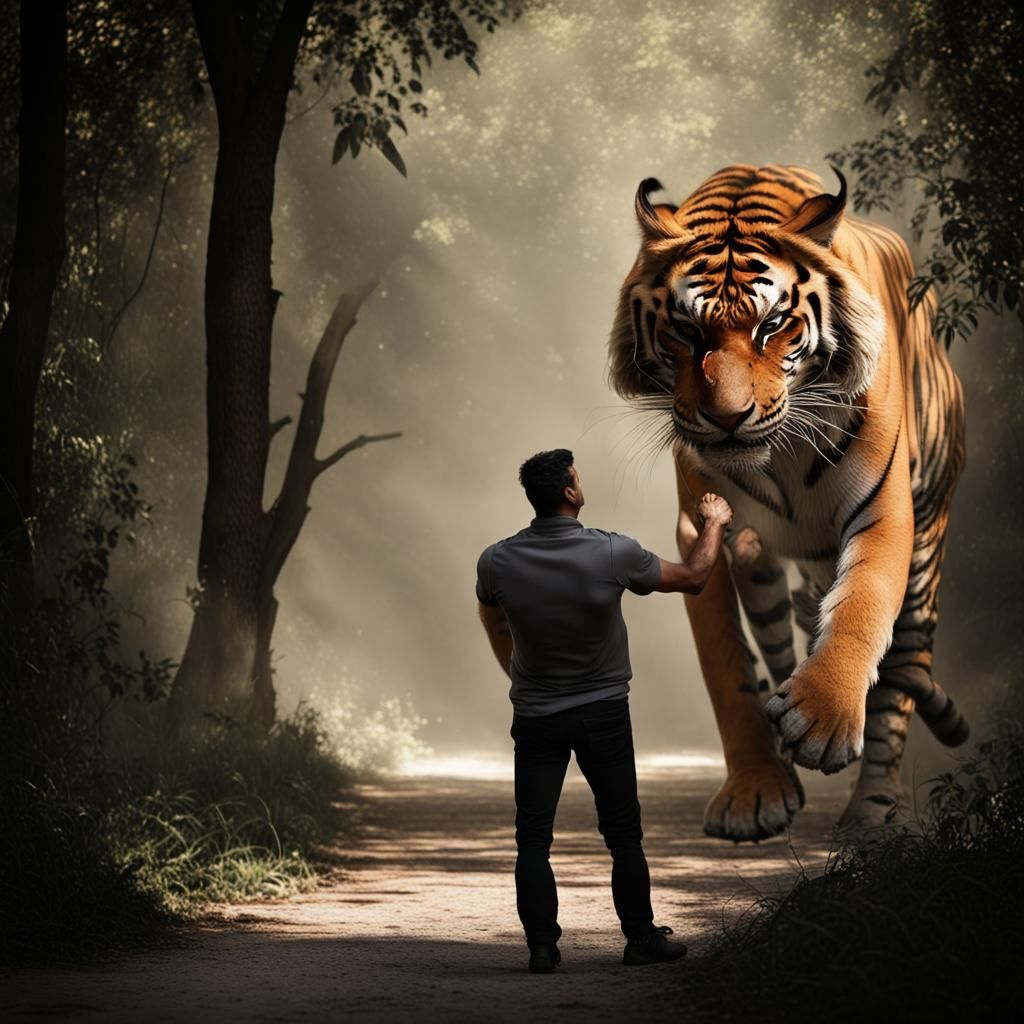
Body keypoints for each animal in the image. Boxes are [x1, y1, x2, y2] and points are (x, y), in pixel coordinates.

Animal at [608, 163, 968, 841]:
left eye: (772, 325)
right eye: (686, 330)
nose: (728, 418)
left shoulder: (885, 509)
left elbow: (862, 603)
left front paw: (822, 718)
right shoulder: (698, 532)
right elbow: (727, 667)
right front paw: (755, 792)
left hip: (928, 546)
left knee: (900, 678)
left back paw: (869, 816)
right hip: (766, 576)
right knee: (774, 637)